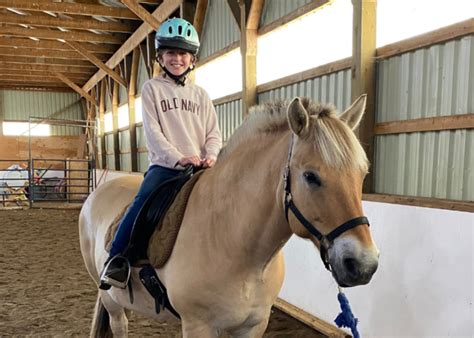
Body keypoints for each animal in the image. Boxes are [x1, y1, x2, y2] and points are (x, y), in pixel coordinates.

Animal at [79, 93, 380, 336]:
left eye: (362, 174)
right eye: (310, 176)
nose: (364, 265)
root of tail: (98, 193)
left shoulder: (254, 325)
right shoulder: (198, 326)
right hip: (110, 299)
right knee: (120, 324)